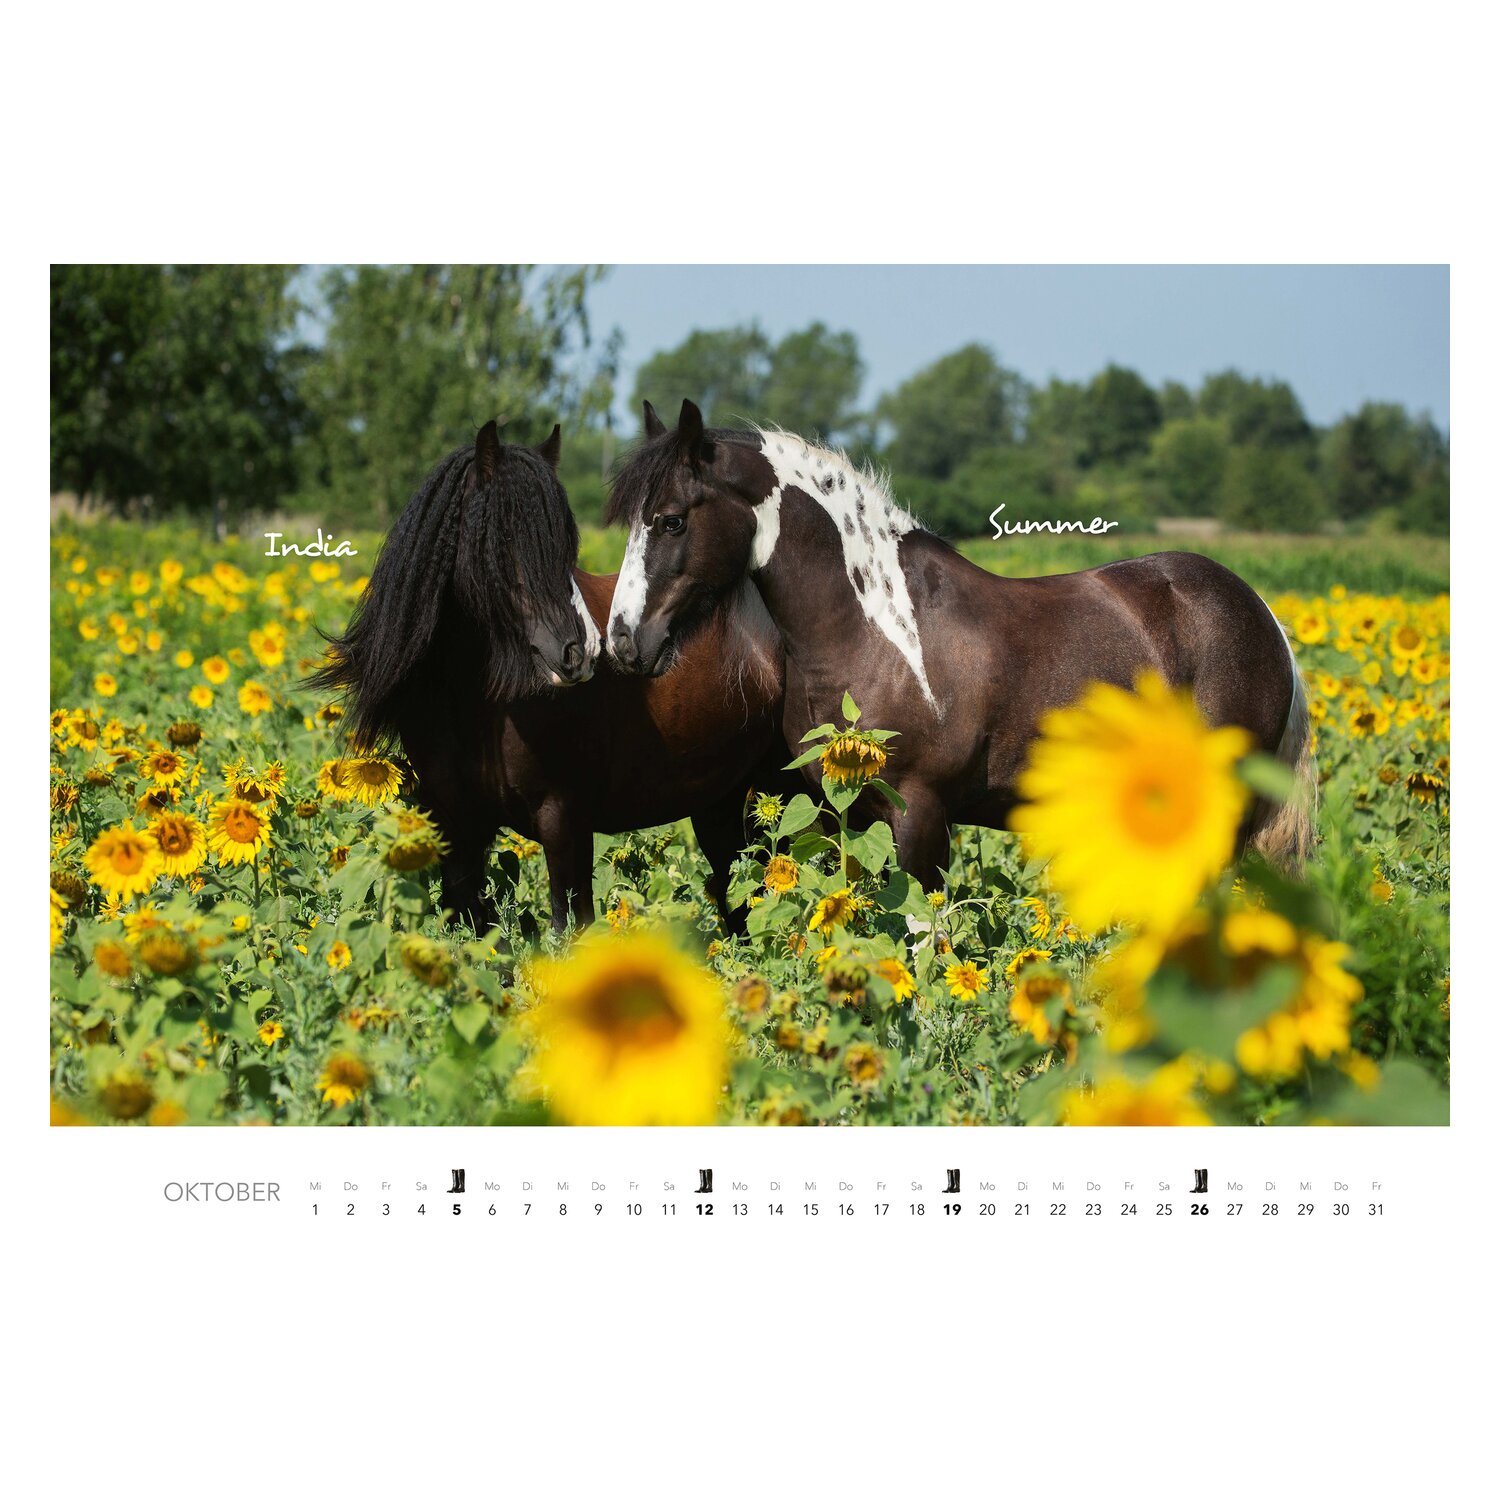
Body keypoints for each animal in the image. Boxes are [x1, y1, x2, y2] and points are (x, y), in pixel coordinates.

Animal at [310, 419, 788, 933]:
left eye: (567, 545)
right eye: (501, 540)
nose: (581, 652)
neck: (474, 704)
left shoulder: (564, 821)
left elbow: (570, 925)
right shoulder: (457, 826)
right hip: (719, 801)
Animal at [603, 399, 1314, 892]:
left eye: (671, 520)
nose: (623, 642)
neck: (876, 635)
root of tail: (1259, 612)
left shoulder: (921, 814)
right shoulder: (843, 818)